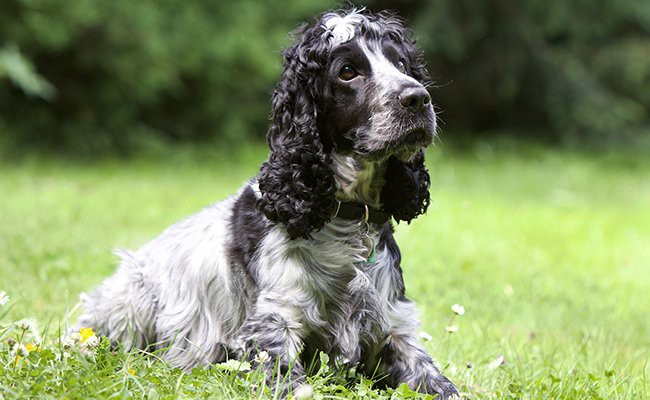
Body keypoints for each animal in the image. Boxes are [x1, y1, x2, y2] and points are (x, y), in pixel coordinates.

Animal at [77, 7, 456, 398]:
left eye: (402, 64)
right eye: (348, 72)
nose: (418, 98)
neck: (346, 220)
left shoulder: (394, 328)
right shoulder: (272, 329)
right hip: (130, 299)